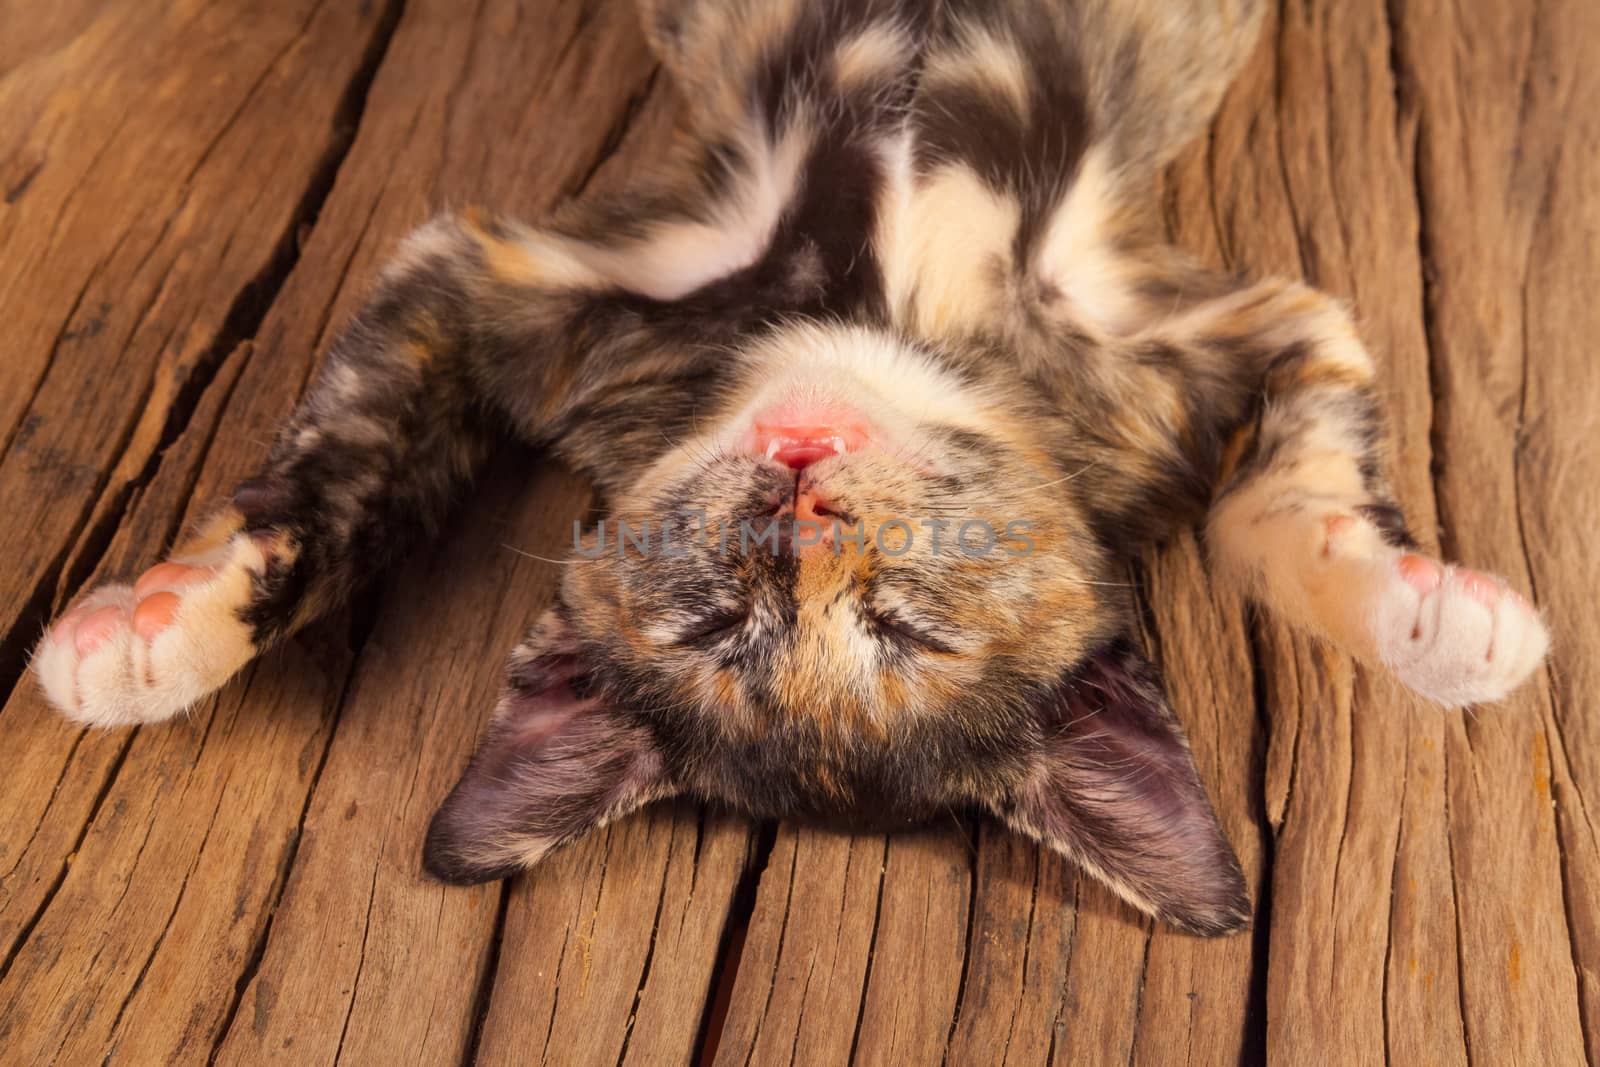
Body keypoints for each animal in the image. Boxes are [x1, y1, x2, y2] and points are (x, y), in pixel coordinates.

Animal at [28, 0, 1548, 934]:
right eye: (722, 621)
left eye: (904, 627)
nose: (800, 498)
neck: (875, 310)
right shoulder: (513, 279)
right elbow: (342, 479)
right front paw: (153, 634)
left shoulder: (1222, 331)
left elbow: (1278, 512)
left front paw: (1439, 624)